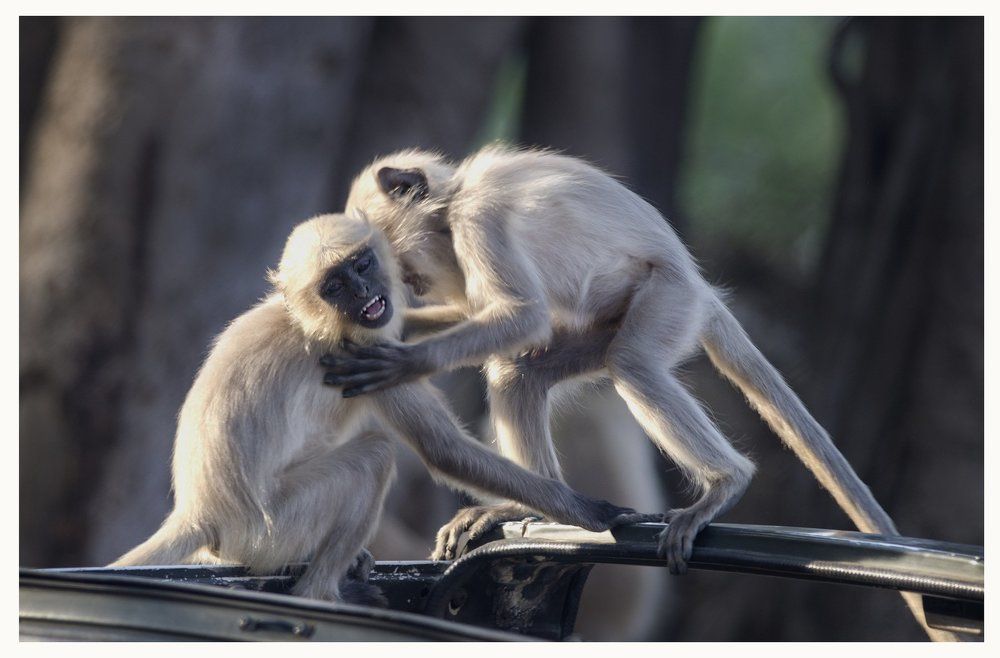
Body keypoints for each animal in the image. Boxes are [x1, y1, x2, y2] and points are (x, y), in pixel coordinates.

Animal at [110, 211, 643, 605]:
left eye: (360, 266)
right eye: (334, 286)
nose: (363, 293)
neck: (308, 321)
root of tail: (199, 512)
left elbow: (409, 326)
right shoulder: (357, 354)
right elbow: (442, 449)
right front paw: (586, 510)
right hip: (269, 531)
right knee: (373, 457)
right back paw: (323, 593)